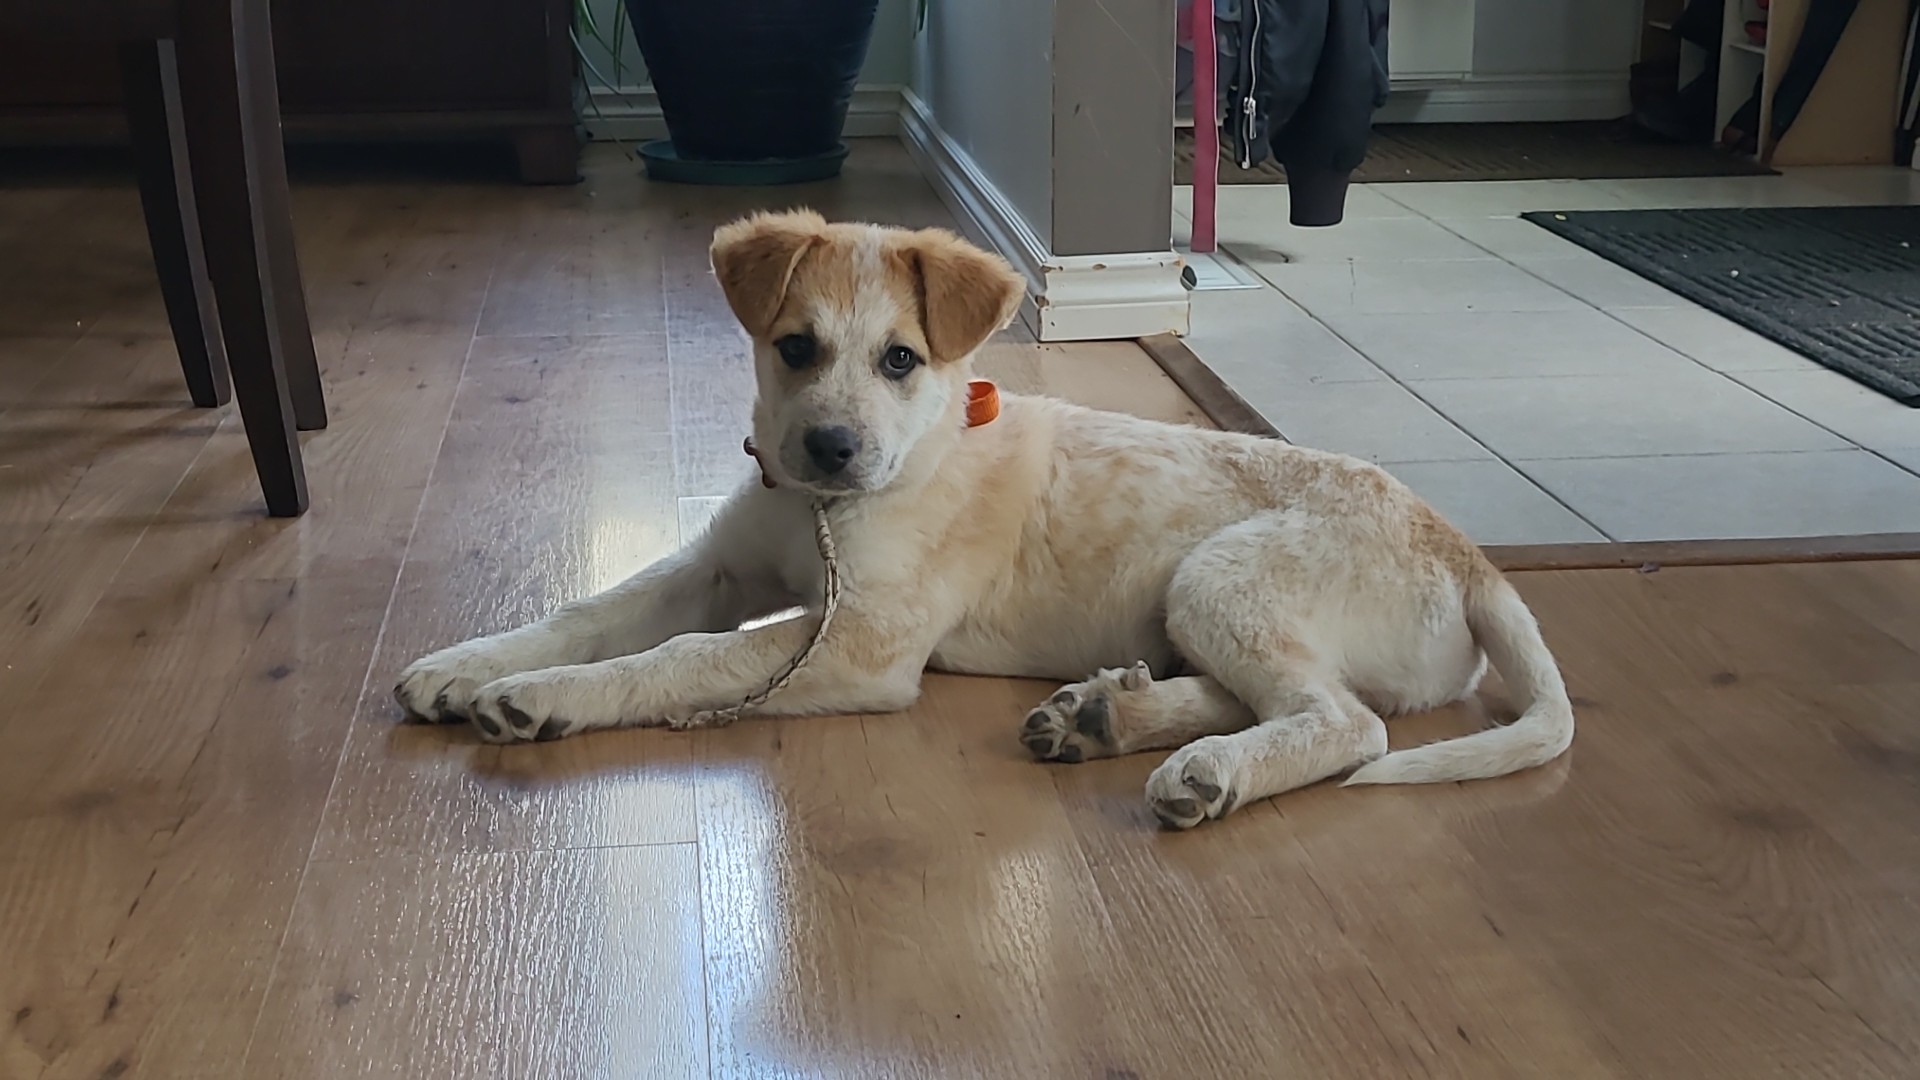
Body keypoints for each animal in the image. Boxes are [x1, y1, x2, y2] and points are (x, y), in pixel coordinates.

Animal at [394, 210, 1575, 828]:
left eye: (900, 360)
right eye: (795, 348)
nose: (829, 449)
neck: (831, 507)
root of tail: (1472, 557)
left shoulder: (859, 644)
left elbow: (680, 657)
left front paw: (544, 698)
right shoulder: (718, 568)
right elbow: (597, 610)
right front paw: (465, 665)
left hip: (1221, 579)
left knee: (1347, 723)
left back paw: (1206, 772)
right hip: (1199, 608)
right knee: (1268, 698)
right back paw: (1107, 718)